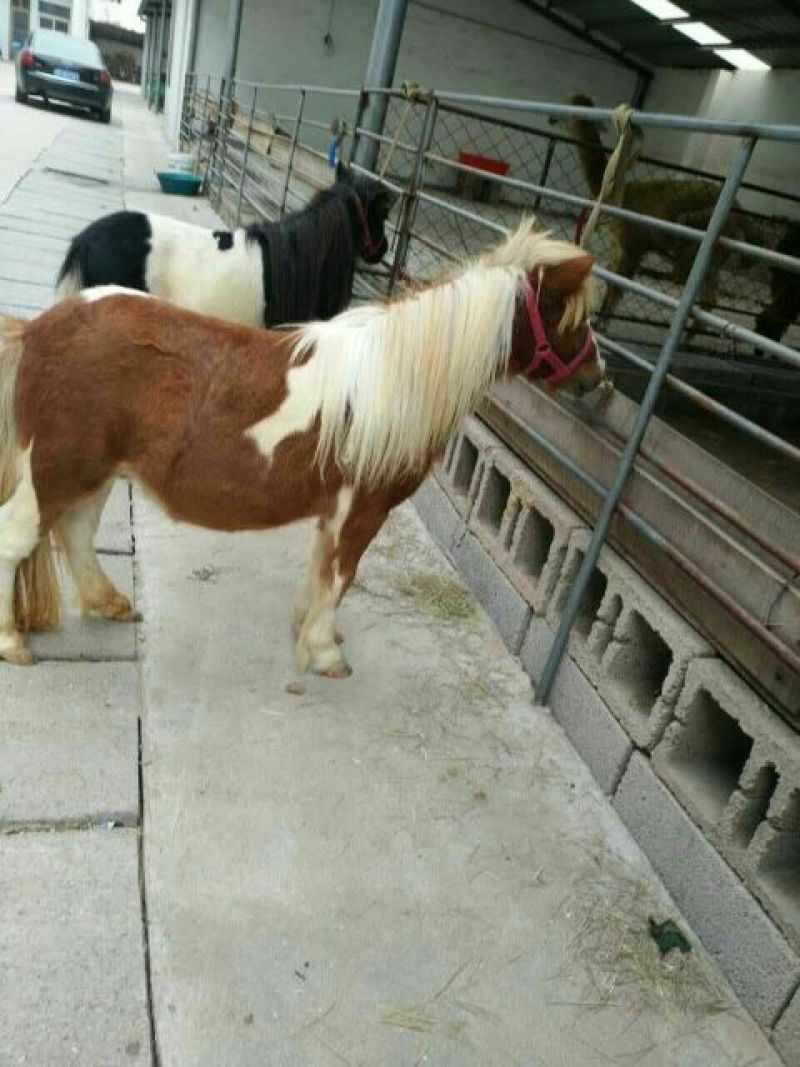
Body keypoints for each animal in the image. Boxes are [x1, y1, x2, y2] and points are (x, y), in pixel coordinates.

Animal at [0, 220, 604, 676]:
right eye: (571, 317)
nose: (598, 381)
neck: (393, 380)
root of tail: (37, 329)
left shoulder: (334, 508)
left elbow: (321, 568)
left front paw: (307, 627)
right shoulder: (363, 509)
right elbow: (341, 576)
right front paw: (324, 652)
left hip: (93, 472)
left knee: (76, 534)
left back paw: (110, 604)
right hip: (57, 470)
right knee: (18, 538)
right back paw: (13, 643)